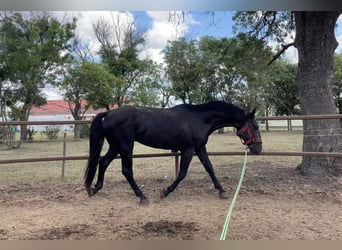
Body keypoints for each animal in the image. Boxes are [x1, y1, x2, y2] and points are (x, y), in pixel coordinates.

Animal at [85, 100, 262, 204]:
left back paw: (94, 189)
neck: (199, 119)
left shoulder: (200, 149)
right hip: (125, 147)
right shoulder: (188, 150)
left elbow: (210, 168)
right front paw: (165, 192)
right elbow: (182, 173)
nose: (258, 149)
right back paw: (142, 197)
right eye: (255, 126)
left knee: (103, 162)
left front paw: (222, 191)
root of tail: (108, 114)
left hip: (115, 146)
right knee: (126, 170)